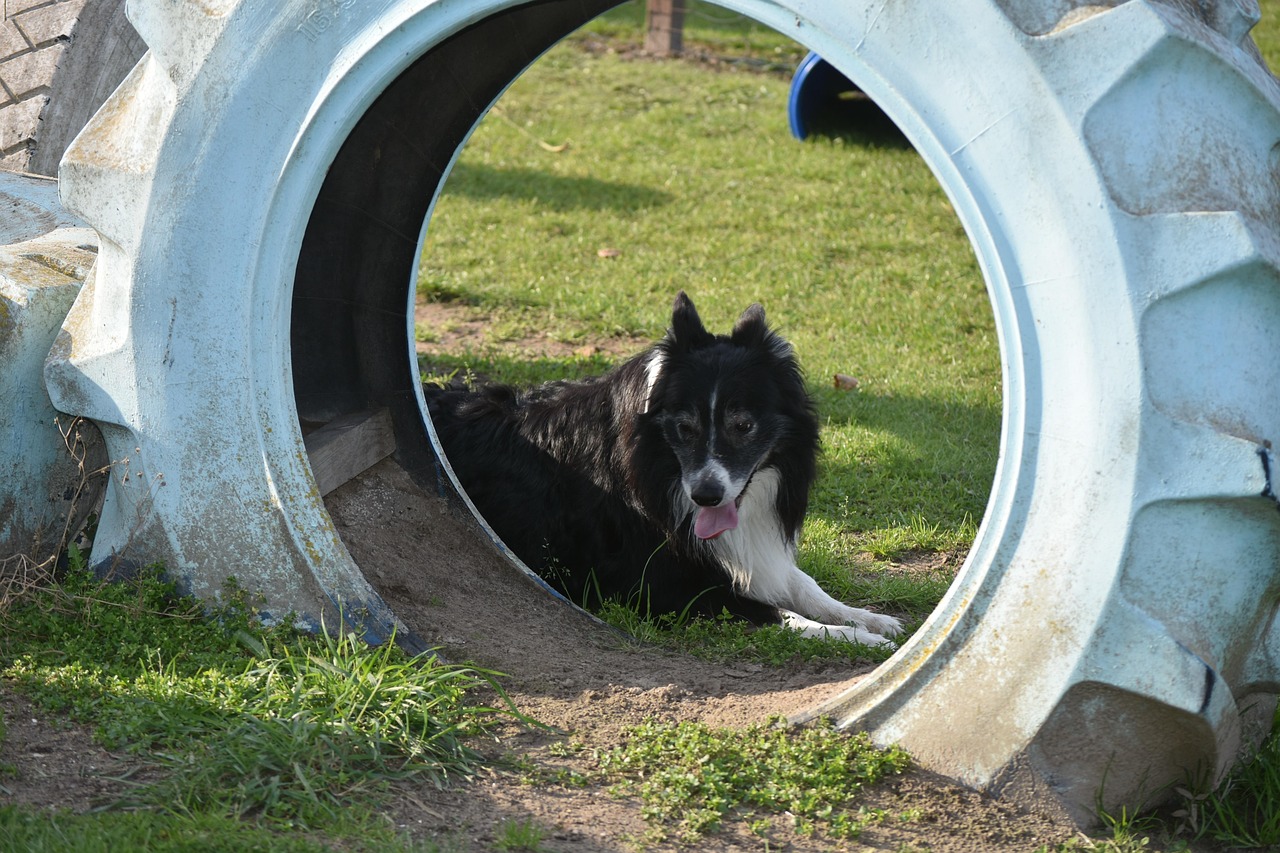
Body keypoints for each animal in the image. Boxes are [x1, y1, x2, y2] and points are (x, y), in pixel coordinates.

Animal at [424, 289, 906, 640]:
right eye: (684, 428)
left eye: (743, 425)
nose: (706, 496)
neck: (656, 465)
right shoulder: (669, 587)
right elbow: (779, 614)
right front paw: (858, 637)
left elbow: (804, 585)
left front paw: (869, 618)